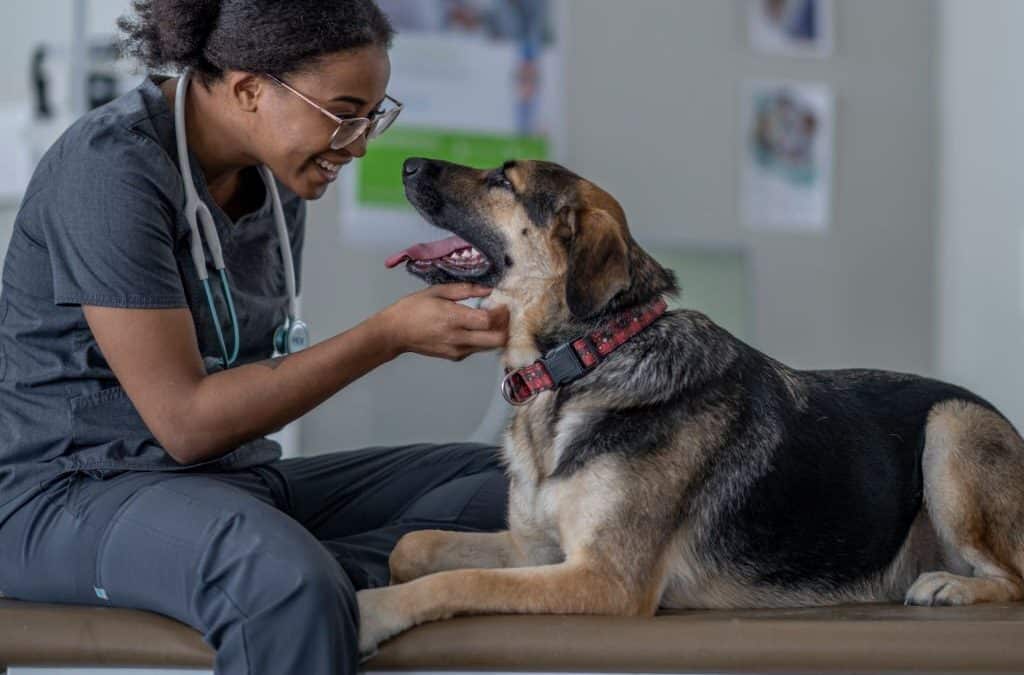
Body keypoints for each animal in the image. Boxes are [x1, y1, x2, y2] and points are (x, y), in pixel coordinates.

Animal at [356, 156, 1019, 655]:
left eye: (503, 180)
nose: (407, 162)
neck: (589, 356)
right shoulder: (535, 550)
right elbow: (414, 547)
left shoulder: (605, 579)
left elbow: (457, 581)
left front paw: (373, 611)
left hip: (952, 425)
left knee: (1014, 577)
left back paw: (950, 587)